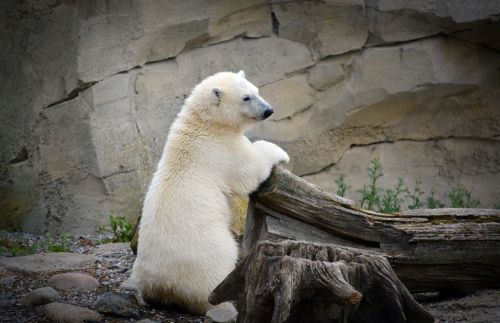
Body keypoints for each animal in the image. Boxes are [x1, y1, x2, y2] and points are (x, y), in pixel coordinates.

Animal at [130, 71, 290, 316]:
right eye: (246, 97)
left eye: (257, 91)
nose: (268, 110)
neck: (205, 124)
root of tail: (161, 282)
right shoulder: (223, 148)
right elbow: (249, 170)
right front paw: (280, 152)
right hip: (205, 252)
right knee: (217, 272)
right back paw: (227, 308)